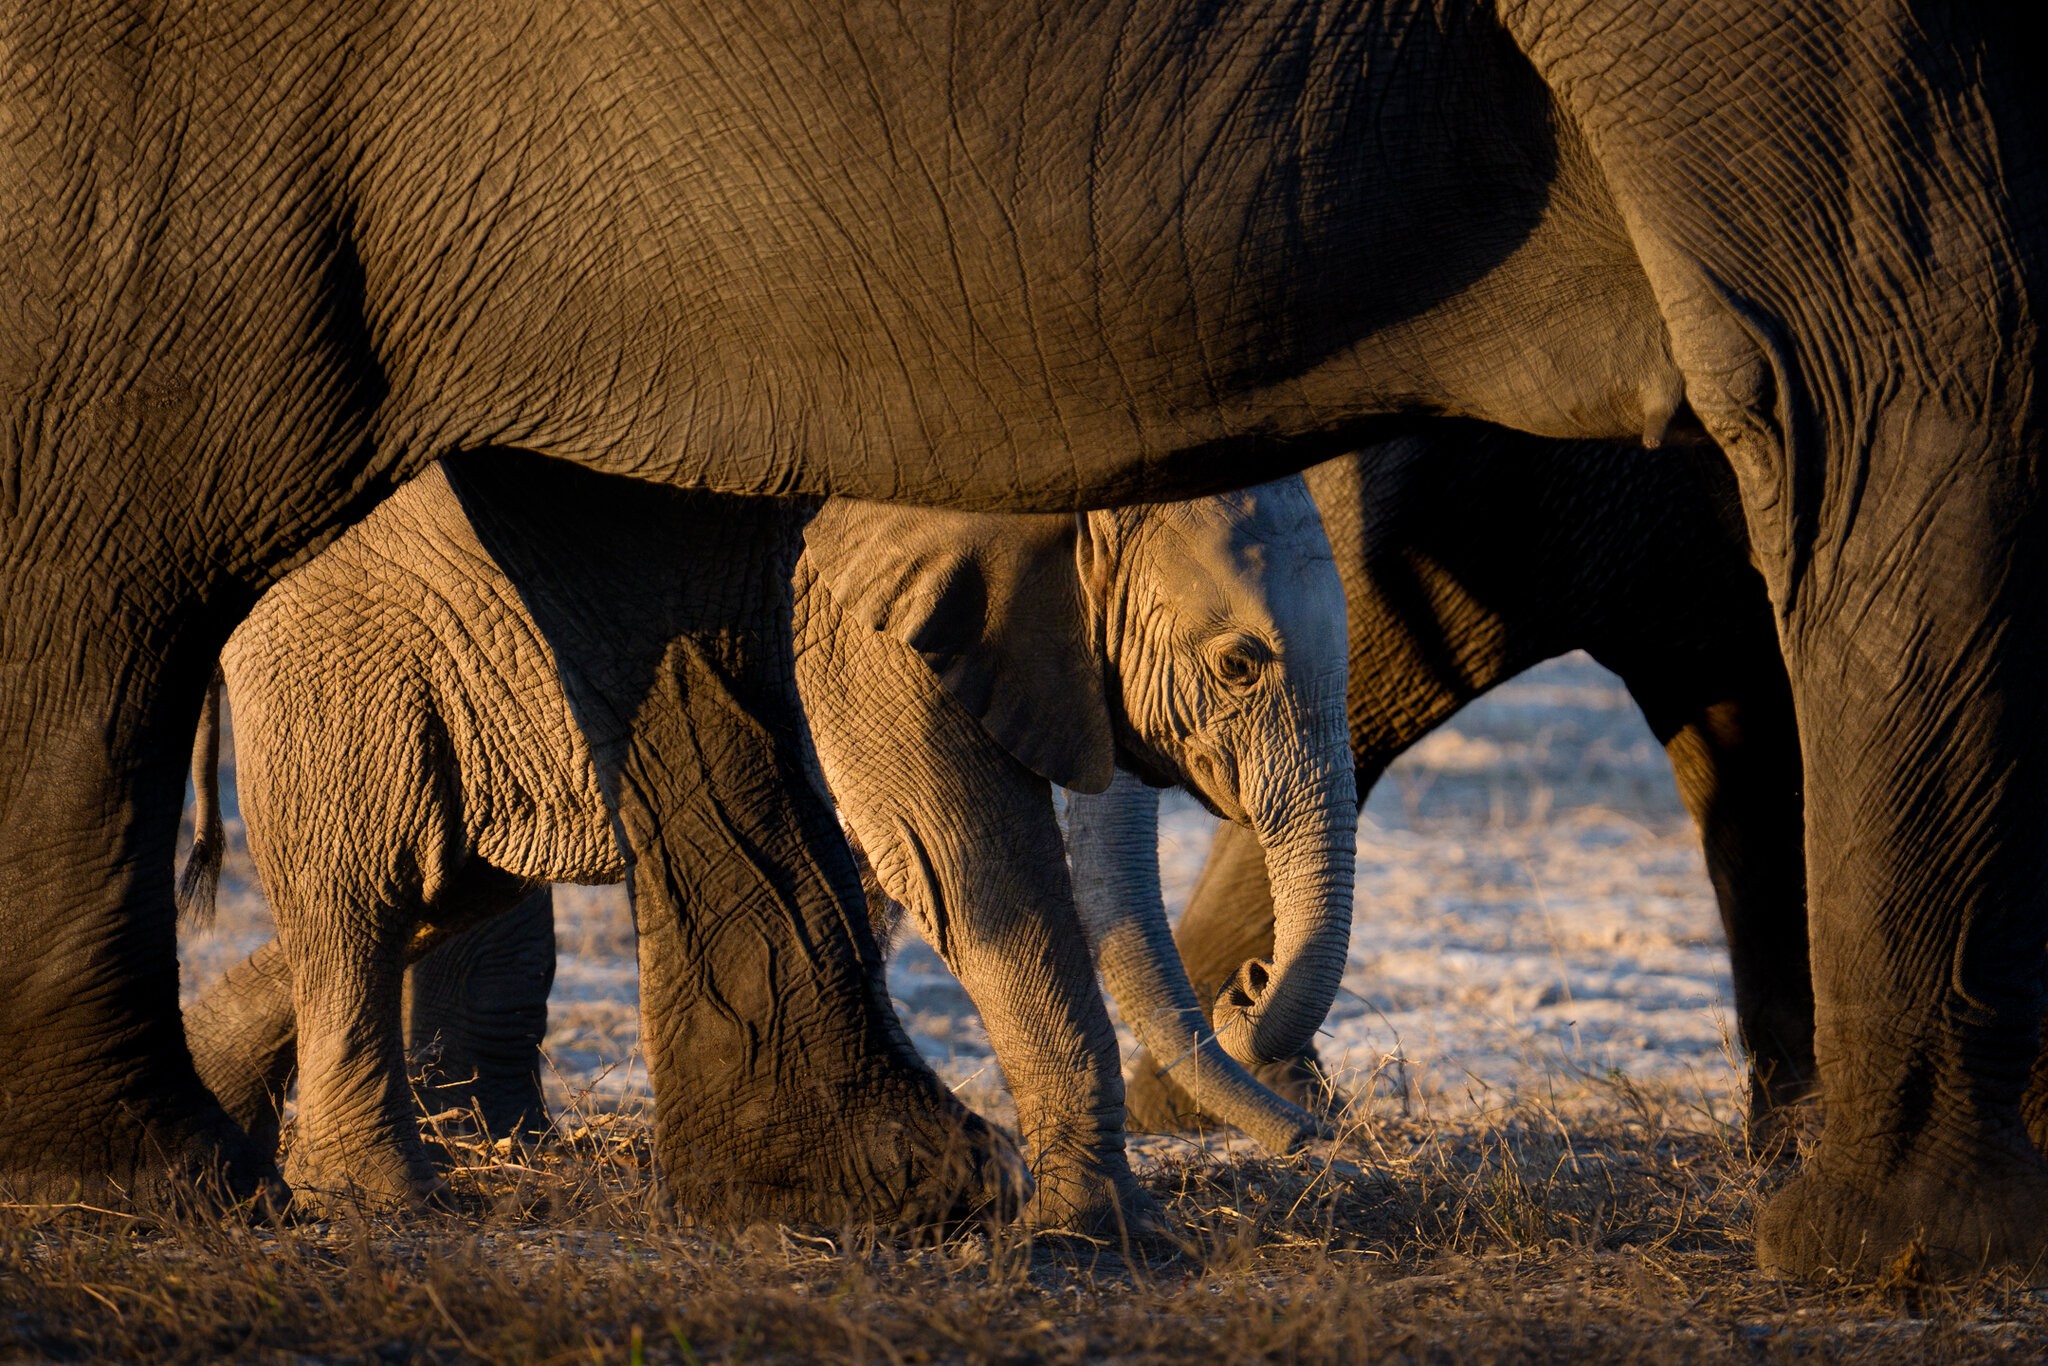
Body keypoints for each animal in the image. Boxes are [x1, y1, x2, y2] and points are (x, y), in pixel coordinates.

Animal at [180, 455, 1354, 1230]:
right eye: (1239, 664)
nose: (1248, 989)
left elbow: (885, 869)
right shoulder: (851, 617)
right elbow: (970, 863)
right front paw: (1095, 1237)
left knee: (445, 877)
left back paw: (225, 1128)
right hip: (339, 634)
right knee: (367, 887)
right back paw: (380, 1199)